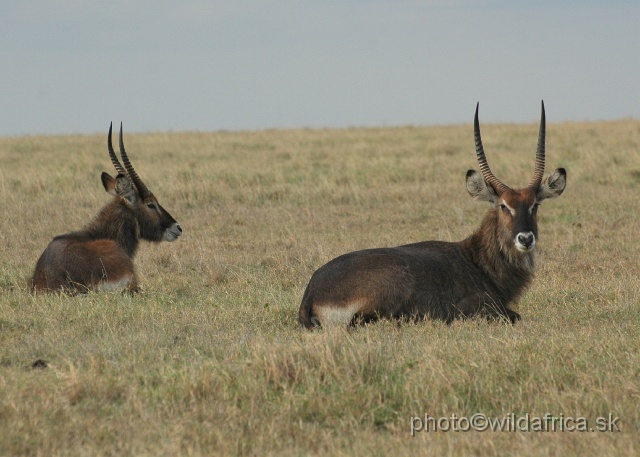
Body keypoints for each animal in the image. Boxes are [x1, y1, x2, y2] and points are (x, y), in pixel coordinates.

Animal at [300, 101, 564, 326]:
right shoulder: (478, 306)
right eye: (503, 205)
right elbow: (515, 315)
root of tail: (312, 291)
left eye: (535, 205)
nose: (526, 239)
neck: (476, 259)